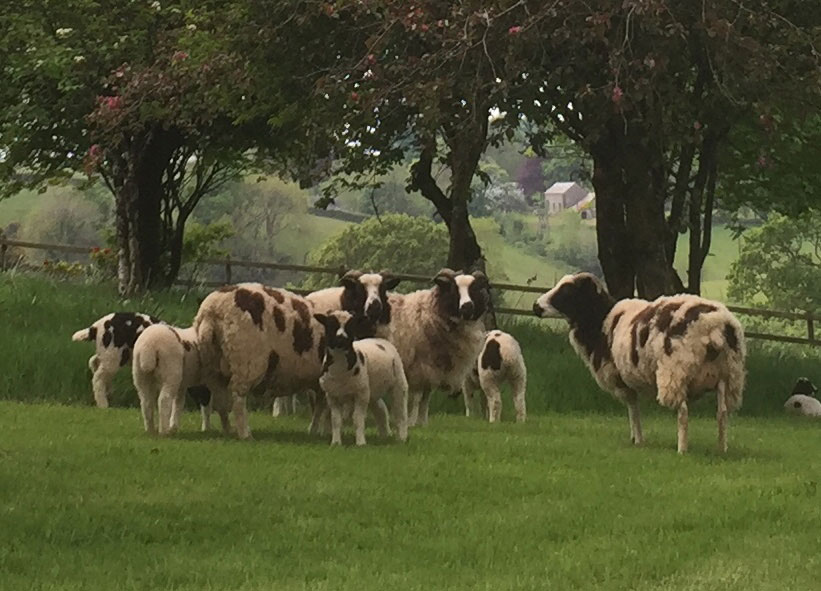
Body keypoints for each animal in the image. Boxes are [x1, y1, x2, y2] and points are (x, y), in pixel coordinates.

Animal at [312, 312, 408, 446]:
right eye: (331, 324)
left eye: (351, 326)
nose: (341, 339)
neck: (340, 370)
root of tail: (380, 340)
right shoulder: (332, 396)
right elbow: (336, 420)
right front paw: (336, 442)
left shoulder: (361, 394)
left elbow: (358, 419)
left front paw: (360, 443)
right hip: (371, 390)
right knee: (381, 409)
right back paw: (384, 436)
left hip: (398, 383)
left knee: (401, 412)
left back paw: (402, 438)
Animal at [374, 270, 490, 428]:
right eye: (454, 289)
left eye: (474, 289)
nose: (467, 307)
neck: (429, 313)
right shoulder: (419, 367)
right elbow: (416, 398)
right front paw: (411, 422)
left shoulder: (431, 370)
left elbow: (425, 398)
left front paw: (422, 422)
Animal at [536, 272, 748, 454]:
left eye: (567, 290)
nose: (536, 307)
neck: (601, 321)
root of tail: (716, 327)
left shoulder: (619, 376)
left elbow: (633, 408)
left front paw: (637, 439)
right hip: (728, 376)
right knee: (722, 413)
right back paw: (721, 448)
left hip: (676, 371)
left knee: (683, 413)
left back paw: (682, 449)